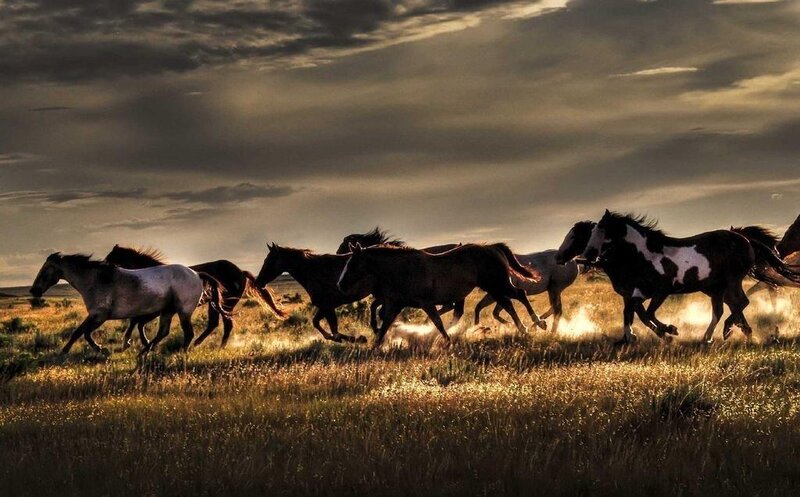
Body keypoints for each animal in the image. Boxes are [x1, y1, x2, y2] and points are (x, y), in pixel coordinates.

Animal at [29, 253, 227, 356]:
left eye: (45, 270)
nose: (33, 291)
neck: (97, 280)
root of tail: (197, 274)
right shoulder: (97, 316)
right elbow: (82, 332)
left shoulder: (99, 315)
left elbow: (81, 332)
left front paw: (95, 349)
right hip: (167, 311)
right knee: (163, 332)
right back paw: (144, 352)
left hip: (183, 311)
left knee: (188, 333)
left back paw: (179, 352)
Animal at [104, 245, 285, 349]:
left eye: (109, 258)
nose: (104, 269)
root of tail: (240, 272)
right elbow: (137, 322)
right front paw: (142, 343)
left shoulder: (157, 310)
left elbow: (137, 322)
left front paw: (136, 343)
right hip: (215, 305)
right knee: (215, 324)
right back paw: (201, 344)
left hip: (225, 303)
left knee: (225, 323)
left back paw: (213, 346)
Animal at [336, 243, 541, 348]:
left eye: (352, 264)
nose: (340, 284)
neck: (405, 270)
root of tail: (492, 248)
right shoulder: (396, 304)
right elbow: (385, 324)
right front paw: (375, 346)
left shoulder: (426, 303)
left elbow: (438, 322)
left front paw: (447, 342)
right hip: (494, 288)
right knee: (509, 303)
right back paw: (526, 327)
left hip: (496, 285)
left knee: (519, 295)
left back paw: (535, 324)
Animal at [558, 210, 800, 344]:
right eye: (591, 233)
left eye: (601, 231)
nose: (589, 255)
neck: (643, 256)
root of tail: (745, 240)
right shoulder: (636, 293)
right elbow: (633, 312)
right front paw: (630, 338)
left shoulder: (659, 292)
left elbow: (645, 314)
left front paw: (668, 331)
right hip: (717, 287)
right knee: (726, 308)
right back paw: (719, 335)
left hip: (731, 281)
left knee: (740, 303)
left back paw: (728, 331)